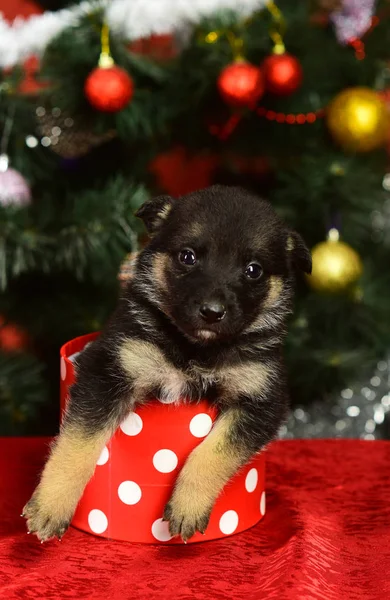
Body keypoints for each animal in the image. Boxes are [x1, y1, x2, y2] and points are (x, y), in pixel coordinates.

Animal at [23, 186, 310, 544]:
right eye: (187, 257)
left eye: (253, 270)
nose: (212, 312)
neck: (195, 348)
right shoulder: (108, 368)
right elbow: (78, 444)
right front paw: (50, 505)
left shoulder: (262, 399)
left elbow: (214, 453)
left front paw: (187, 507)